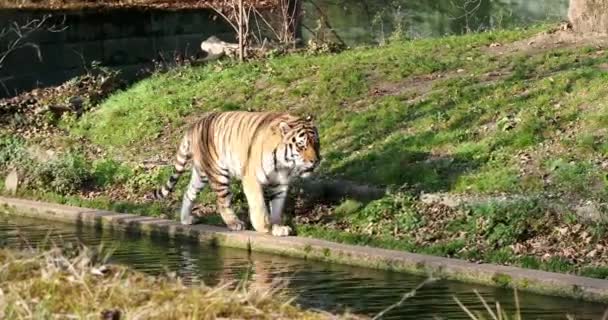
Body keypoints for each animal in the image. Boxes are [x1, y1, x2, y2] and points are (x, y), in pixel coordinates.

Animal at [149, 111, 320, 236]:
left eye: (316, 144)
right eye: (301, 146)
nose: (316, 161)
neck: (284, 165)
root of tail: (194, 125)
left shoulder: (280, 184)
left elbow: (277, 208)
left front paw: (278, 227)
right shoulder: (251, 178)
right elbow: (259, 205)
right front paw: (264, 227)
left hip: (200, 174)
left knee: (189, 192)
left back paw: (185, 220)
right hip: (218, 172)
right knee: (222, 202)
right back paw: (234, 223)